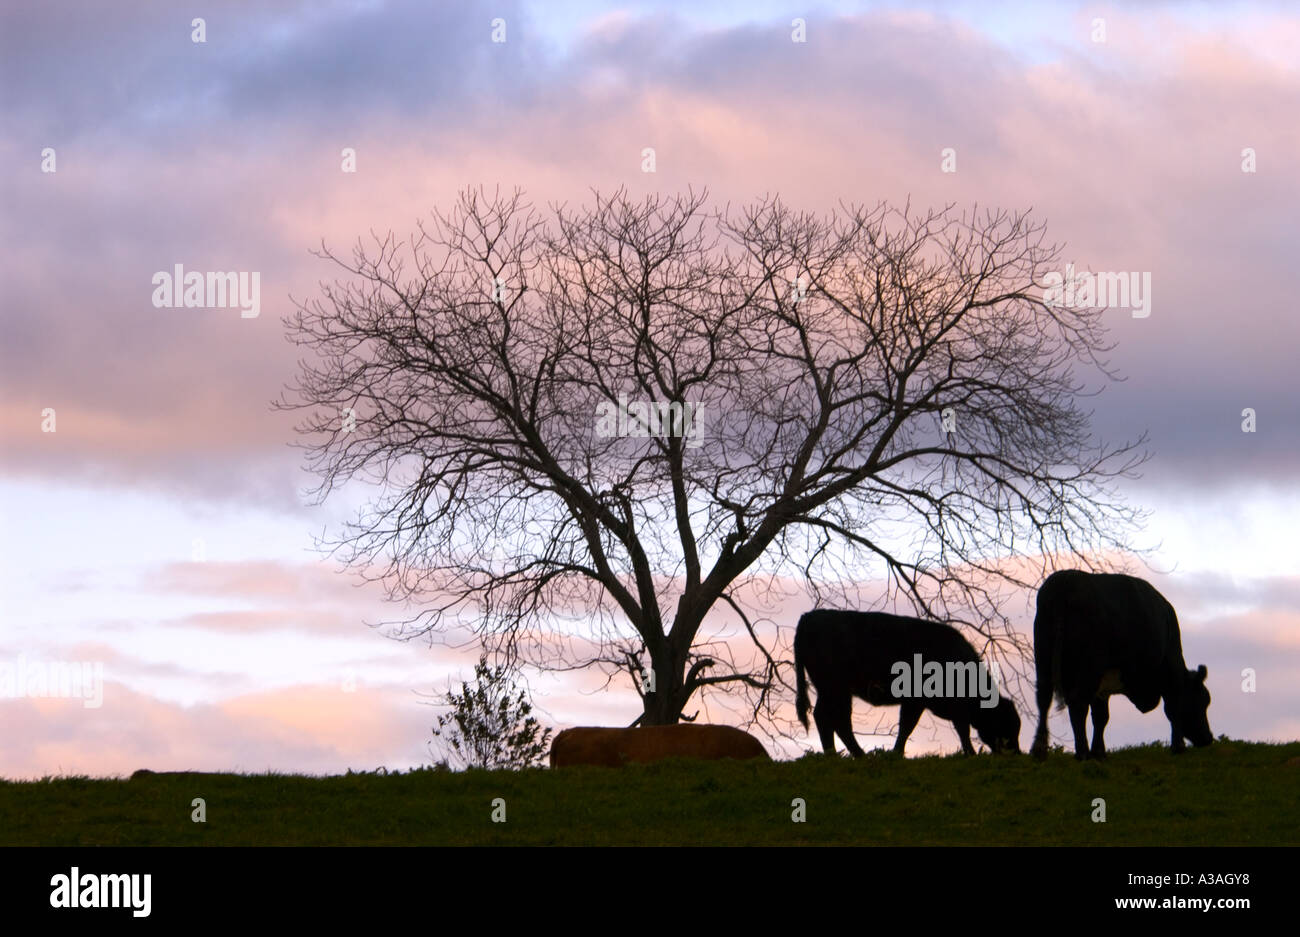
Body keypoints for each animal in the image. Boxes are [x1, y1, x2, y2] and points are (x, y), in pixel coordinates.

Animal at [785, 610, 1019, 758]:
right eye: (1006, 724)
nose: (1016, 753)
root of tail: (809, 616)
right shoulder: (921, 701)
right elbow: (916, 726)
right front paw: (970, 753)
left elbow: (907, 727)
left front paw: (896, 753)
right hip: (835, 688)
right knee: (834, 719)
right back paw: (853, 755)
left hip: (834, 690)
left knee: (830, 719)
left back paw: (841, 755)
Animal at [1029, 569, 1211, 758]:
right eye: (1203, 700)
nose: (1208, 738)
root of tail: (1066, 579)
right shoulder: (1171, 670)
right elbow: (1174, 708)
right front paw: (1178, 746)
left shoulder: (1103, 683)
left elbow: (1100, 716)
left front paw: (1099, 752)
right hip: (1089, 665)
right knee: (1077, 702)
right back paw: (1082, 752)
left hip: (1043, 656)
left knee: (1044, 698)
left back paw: (1039, 749)